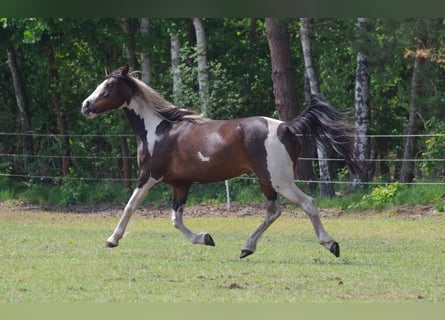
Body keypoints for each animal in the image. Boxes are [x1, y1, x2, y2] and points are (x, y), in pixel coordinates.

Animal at [80, 66, 358, 258]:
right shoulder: (181, 184)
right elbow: (176, 219)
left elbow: (130, 206)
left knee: (308, 204)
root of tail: (286, 127)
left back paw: (331, 244)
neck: (158, 131)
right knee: (273, 211)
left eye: (108, 87)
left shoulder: (149, 175)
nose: (85, 106)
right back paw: (247, 248)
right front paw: (205, 238)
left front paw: (111, 239)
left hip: (280, 180)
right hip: (267, 180)